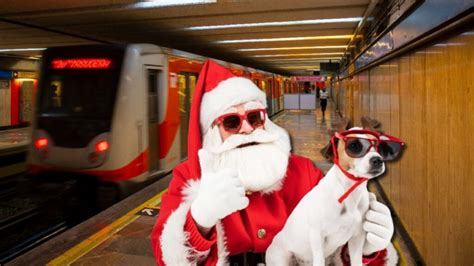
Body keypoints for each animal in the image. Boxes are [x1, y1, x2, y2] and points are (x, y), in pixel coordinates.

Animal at [266, 120, 404, 264]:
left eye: (379, 148)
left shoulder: (357, 238)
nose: (377, 160)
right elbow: (319, 259)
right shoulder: (317, 235)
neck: (348, 192)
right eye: (354, 146)